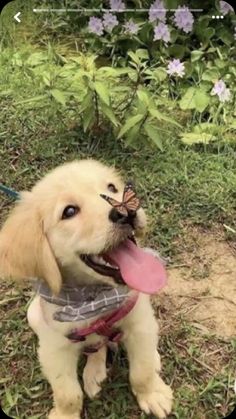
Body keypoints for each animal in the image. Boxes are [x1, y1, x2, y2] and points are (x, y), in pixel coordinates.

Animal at [0, 160, 173, 419]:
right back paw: (94, 372)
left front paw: (152, 393)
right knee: (95, 348)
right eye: (69, 211)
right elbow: (67, 392)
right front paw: (65, 414)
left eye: (112, 188)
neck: (94, 298)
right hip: (33, 315)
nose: (126, 212)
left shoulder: (139, 321)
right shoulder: (54, 347)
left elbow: (141, 370)